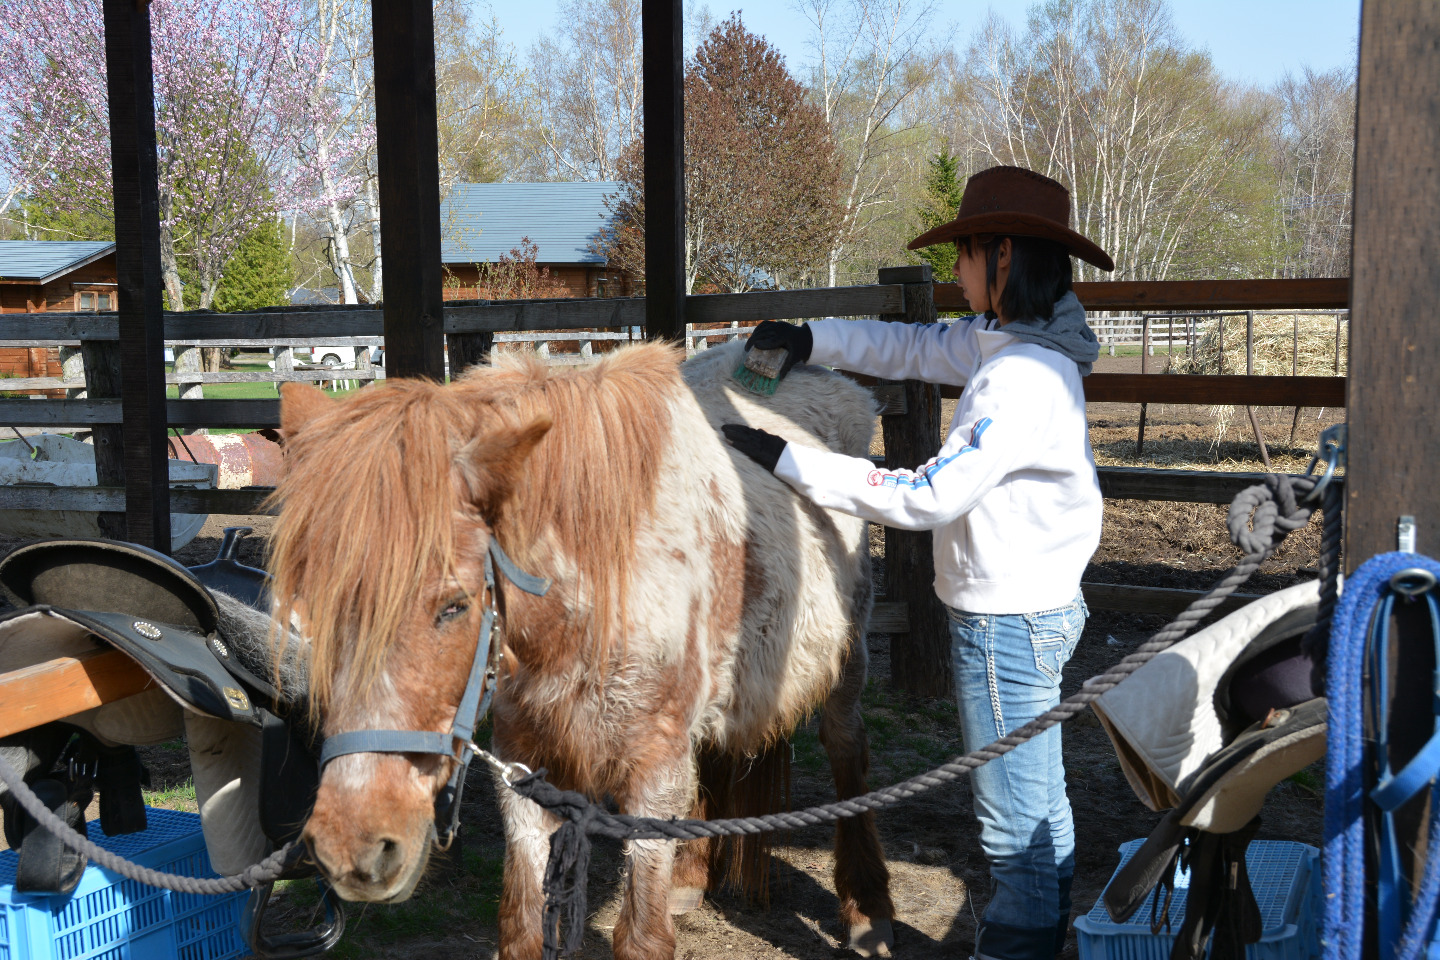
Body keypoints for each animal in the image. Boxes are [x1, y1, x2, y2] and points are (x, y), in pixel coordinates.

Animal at [272, 339, 887, 960]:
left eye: (454, 606)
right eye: (309, 608)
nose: (353, 846)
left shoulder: (653, 774)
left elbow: (641, 937)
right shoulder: (525, 763)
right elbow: (520, 927)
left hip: (847, 660)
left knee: (846, 750)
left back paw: (868, 909)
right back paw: (689, 879)